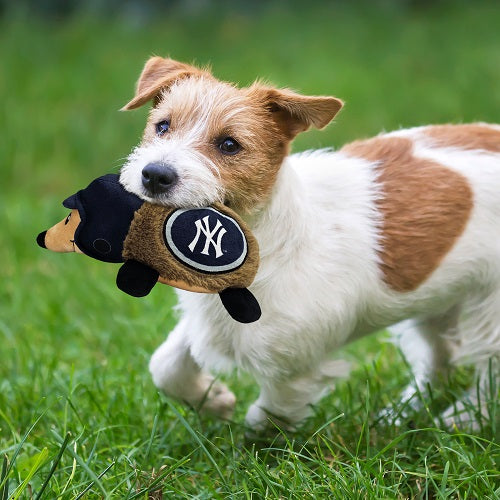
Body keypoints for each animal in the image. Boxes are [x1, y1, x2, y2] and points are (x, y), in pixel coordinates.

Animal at [119, 56, 498, 432]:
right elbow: (165, 365)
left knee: (488, 371)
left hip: (488, 309)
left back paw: (465, 418)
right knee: (440, 358)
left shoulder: (295, 368)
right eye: (162, 126)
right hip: (436, 300)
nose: (154, 175)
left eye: (229, 145)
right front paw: (213, 400)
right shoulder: (207, 321)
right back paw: (402, 415)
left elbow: (267, 418)